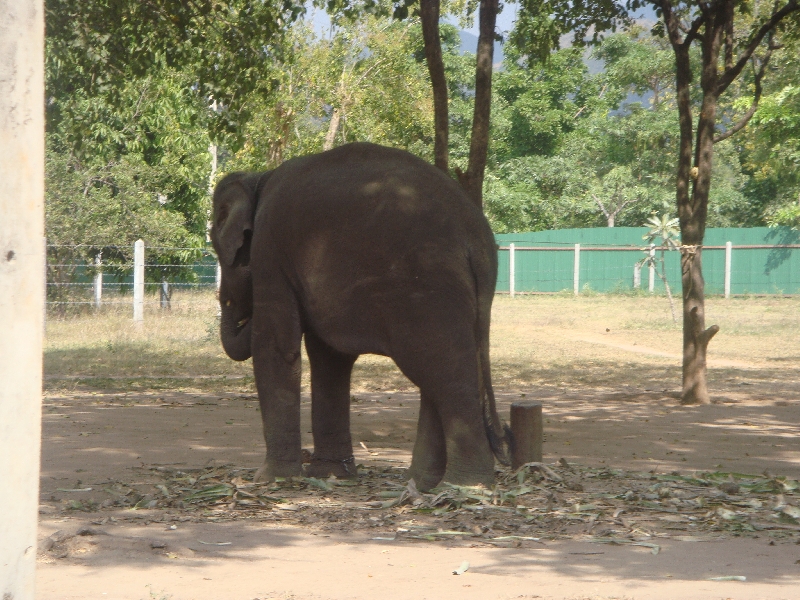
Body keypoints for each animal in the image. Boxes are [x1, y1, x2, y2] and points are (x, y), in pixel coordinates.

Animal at [209, 143, 510, 490]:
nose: (235, 305)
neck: (259, 178)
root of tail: (475, 235)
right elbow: (329, 358)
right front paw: (331, 475)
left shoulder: (270, 249)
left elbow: (277, 347)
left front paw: (271, 479)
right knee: (439, 370)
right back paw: (423, 483)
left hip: (426, 284)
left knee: (443, 369)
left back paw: (464, 486)